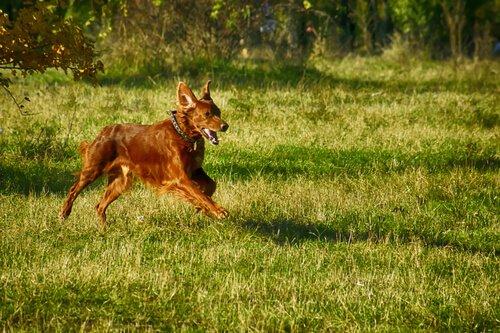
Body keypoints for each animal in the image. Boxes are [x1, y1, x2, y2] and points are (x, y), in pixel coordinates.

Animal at [59, 80, 229, 227]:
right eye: (207, 114)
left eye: (219, 112)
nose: (225, 126)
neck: (183, 136)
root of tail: (104, 131)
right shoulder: (180, 177)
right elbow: (199, 193)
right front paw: (218, 210)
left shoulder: (195, 170)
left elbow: (210, 186)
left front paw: (201, 208)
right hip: (93, 169)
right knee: (74, 189)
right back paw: (64, 213)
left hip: (120, 181)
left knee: (100, 206)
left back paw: (104, 229)